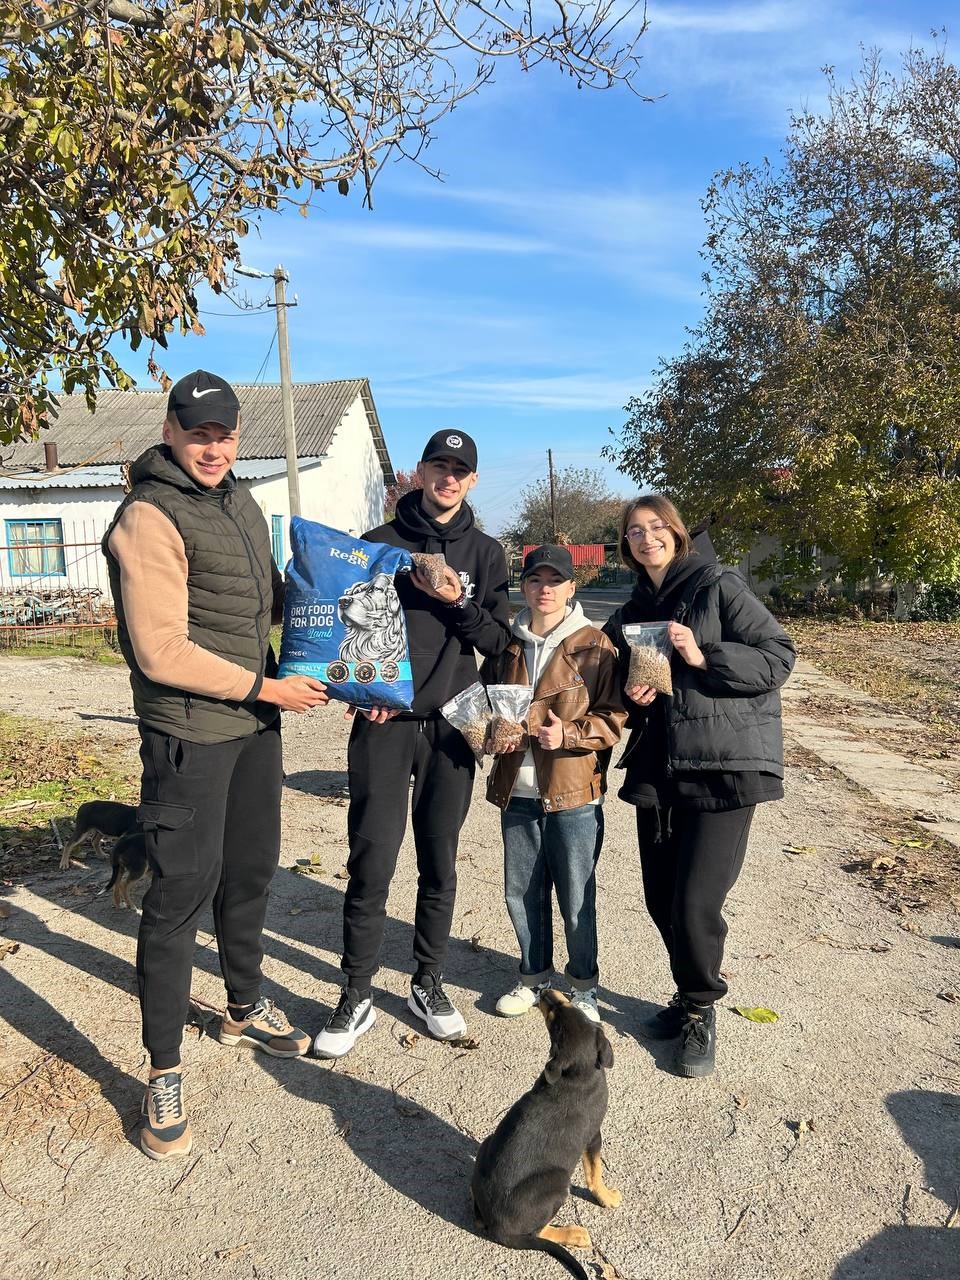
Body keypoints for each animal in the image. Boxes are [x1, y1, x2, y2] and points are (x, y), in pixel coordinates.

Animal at [471, 989, 620, 1279]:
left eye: (573, 1009)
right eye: (554, 1021)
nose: (544, 993)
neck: (578, 1074)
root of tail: (496, 1227)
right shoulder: (593, 1136)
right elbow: (595, 1173)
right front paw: (607, 1198)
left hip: (487, 1143)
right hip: (559, 1183)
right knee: (538, 1231)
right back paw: (575, 1234)